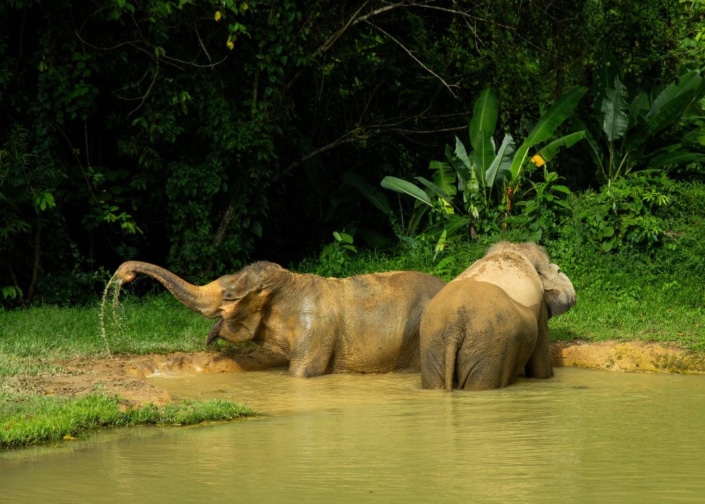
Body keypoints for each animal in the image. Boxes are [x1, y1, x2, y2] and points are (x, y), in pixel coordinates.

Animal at [419, 242, 576, 391]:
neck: (515, 249)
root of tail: (454, 324)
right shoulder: (540, 307)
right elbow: (540, 363)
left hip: (433, 341)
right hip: (491, 345)